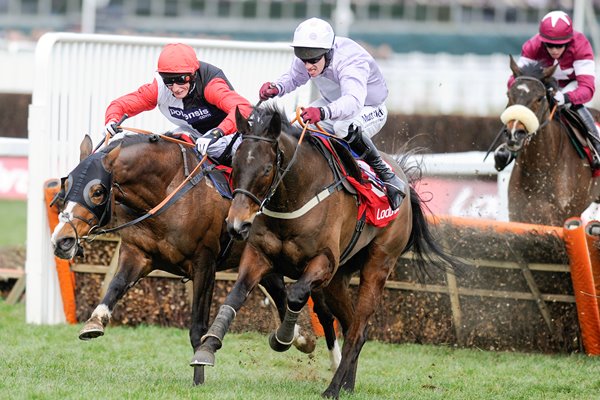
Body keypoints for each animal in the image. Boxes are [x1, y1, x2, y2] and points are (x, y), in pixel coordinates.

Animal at [50, 133, 338, 386]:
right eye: (65, 186)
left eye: (97, 191)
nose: (62, 240)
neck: (166, 191)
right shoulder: (137, 254)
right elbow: (115, 286)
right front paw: (94, 322)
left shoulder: (204, 264)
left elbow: (197, 329)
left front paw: (199, 377)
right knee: (280, 291)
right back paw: (299, 340)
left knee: (322, 310)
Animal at [190, 104, 462, 398]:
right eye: (235, 164)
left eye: (266, 169)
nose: (236, 225)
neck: (294, 196)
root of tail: (404, 183)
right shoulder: (258, 255)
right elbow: (236, 294)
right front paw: (207, 348)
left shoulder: (324, 263)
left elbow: (296, 294)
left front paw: (283, 338)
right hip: (338, 279)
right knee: (352, 323)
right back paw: (347, 385)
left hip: (378, 264)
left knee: (357, 330)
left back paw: (332, 388)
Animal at [496, 54, 600, 227]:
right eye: (508, 94)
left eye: (539, 98)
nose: (514, 133)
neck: (540, 169)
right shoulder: (518, 215)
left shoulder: (561, 217)